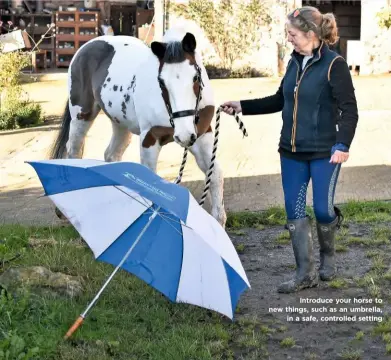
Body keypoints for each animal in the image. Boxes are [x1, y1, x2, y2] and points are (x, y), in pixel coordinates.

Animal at [49, 27, 228, 225]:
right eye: (161, 82)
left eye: (196, 77)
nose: (183, 136)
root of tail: (86, 46)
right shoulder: (149, 139)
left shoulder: (202, 135)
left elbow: (215, 174)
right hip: (82, 116)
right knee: (73, 150)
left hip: (120, 124)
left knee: (111, 154)